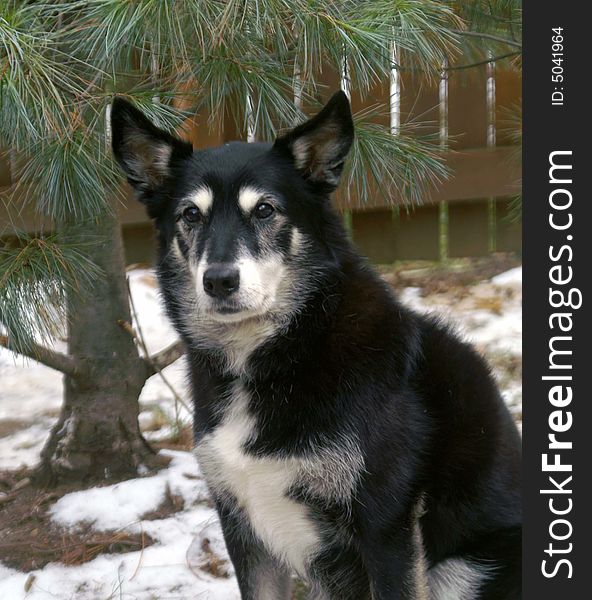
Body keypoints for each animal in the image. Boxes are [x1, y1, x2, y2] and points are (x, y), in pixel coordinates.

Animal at [111, 90, 520, 600]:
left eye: (265, 210)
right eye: (191, 214)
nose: (219, 281)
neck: (289, 348)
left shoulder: (386, 528)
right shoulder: (243, 526)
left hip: (462, 569)